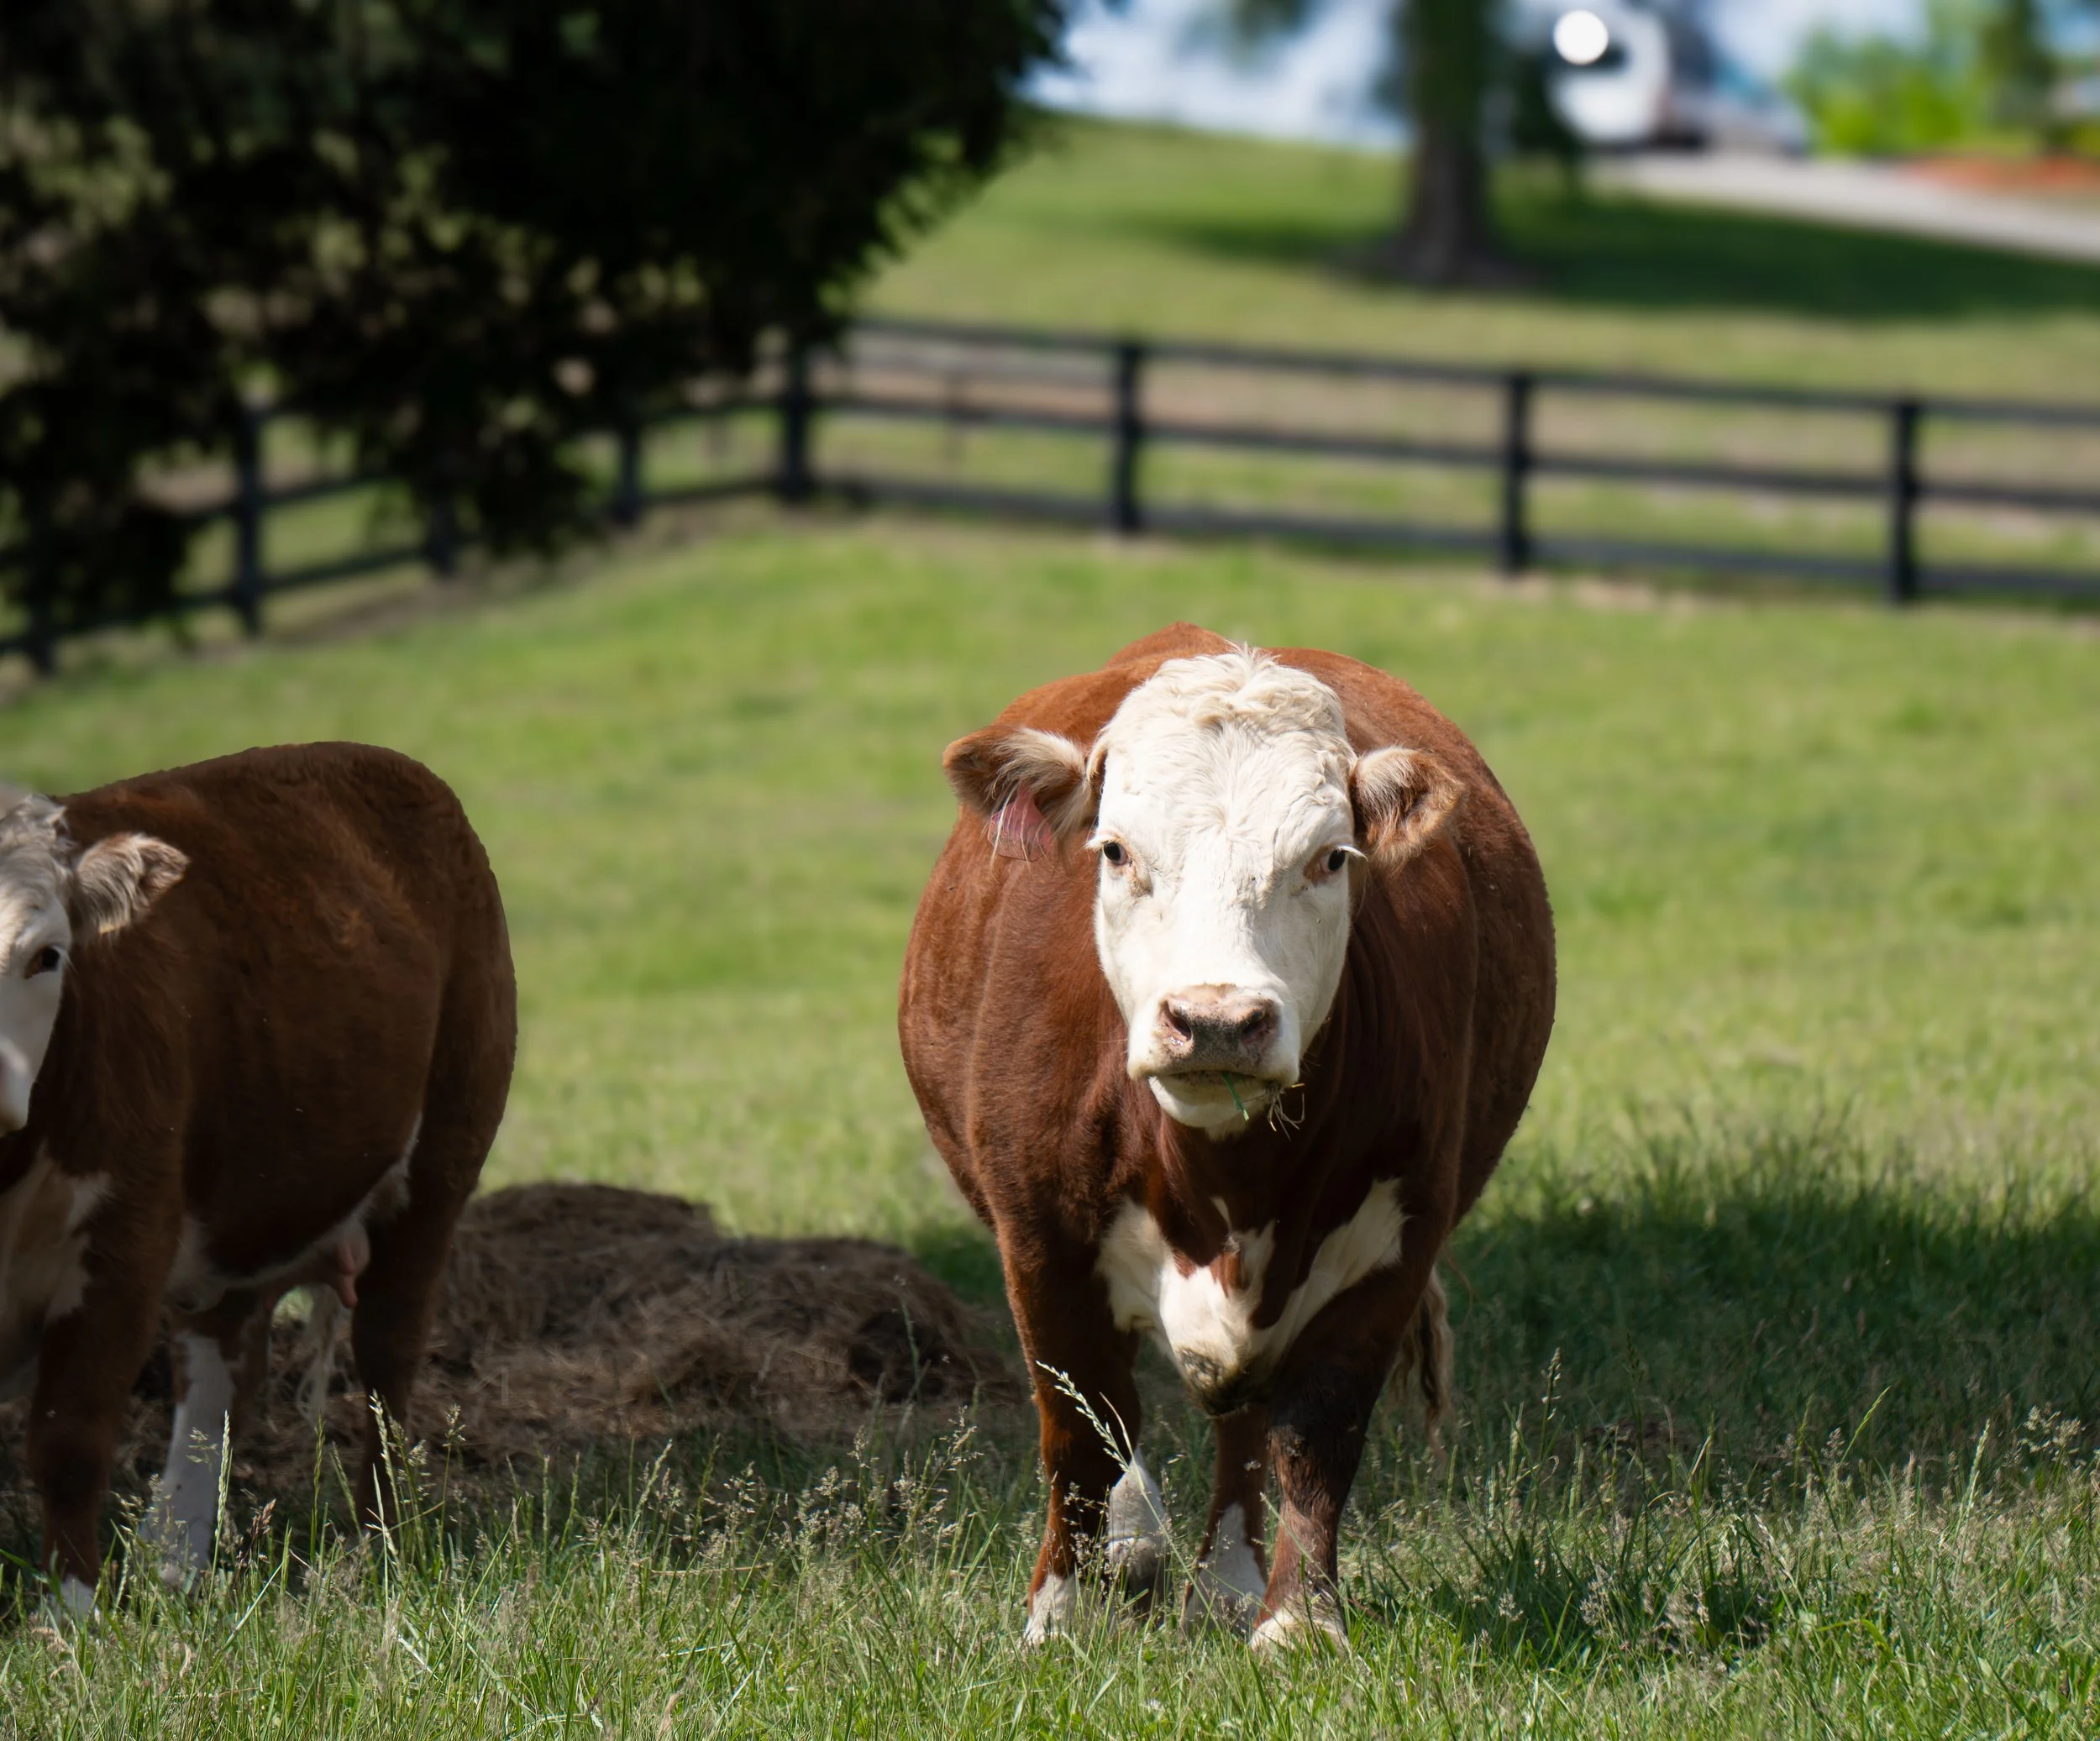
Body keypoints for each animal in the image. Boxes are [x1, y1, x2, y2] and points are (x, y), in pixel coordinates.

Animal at [0, 743, 516, 1616]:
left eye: (47, 953)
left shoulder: (124, 1243)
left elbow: (69, 1440)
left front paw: (68, 1614)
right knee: (218, 1377)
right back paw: (175, 1557)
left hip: (444, 1159)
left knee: (386, 1365)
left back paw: (375, 1546)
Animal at [899, 625, 1554, 1648]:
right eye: (1115, 850)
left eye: (1330, 858)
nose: (1214, 1021)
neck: (1224, 1182)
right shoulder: (1038, 1237)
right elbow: (1077, 1430)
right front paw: (1063, 1613)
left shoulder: (1395, 1241)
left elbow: (1318, 1430)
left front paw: (1298, 1624)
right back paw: (1135, 1547)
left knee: (1243, 1424)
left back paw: (1229, 1583)